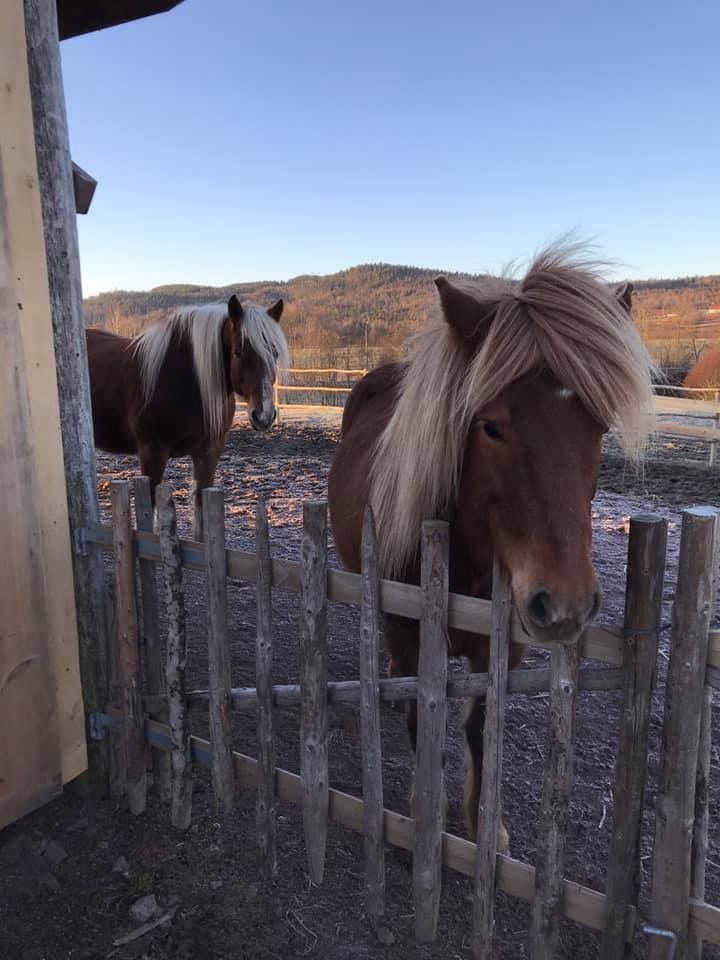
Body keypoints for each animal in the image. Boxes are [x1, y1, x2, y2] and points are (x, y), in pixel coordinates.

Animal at [87, 294, 289, 539]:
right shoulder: (152, 453)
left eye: (275, 352)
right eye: (238, 351)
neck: (186, 381)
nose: (264, 415)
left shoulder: (208, 453)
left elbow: (202, 513)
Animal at [327, 243, 656, 847]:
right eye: (491, 427)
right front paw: (423, 813)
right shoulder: (412, 632)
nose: (565, 602)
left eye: (598, 426)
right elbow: (421, 715)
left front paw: (487, 824)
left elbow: (481, 725)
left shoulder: (504, 647)